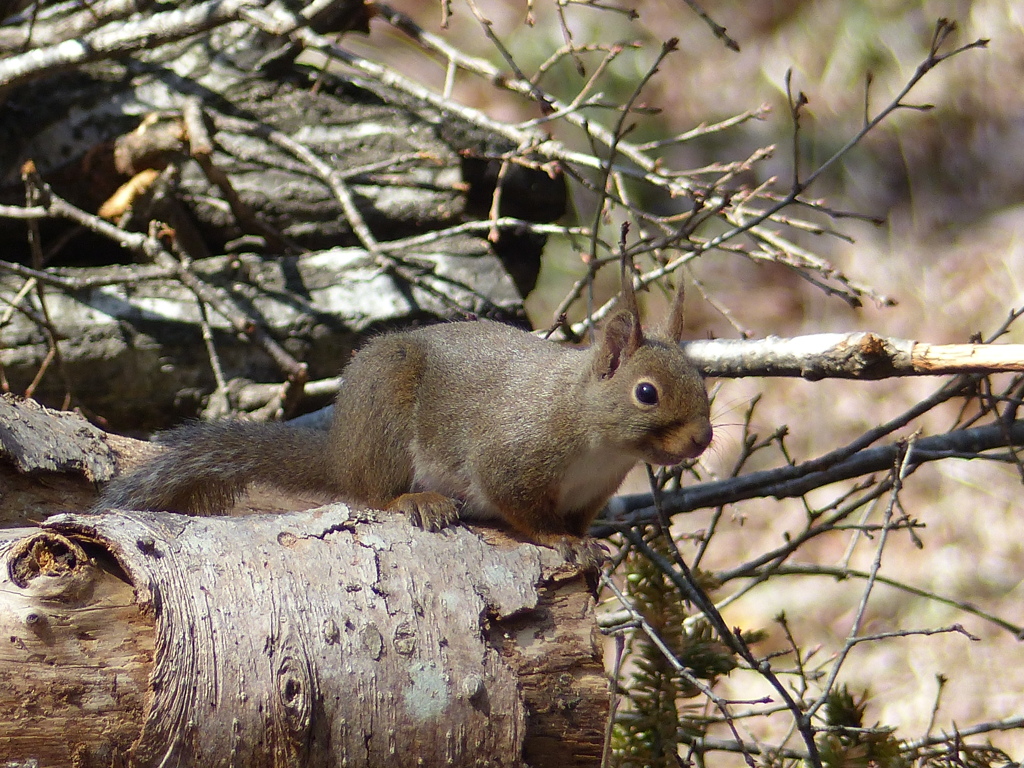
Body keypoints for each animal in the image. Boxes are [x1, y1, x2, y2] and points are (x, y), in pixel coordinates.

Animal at [101, 262, 712, 561]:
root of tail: (341, 453)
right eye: (647, 393)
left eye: (702, 379)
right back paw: (414, 500)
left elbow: (579, 520)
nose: (703, 440)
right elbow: (521, 508)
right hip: (386, 419)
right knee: (370, 495)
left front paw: (589, 545)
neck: (594, 439)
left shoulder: (592, 493)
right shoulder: (511, 456)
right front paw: (559, 541)